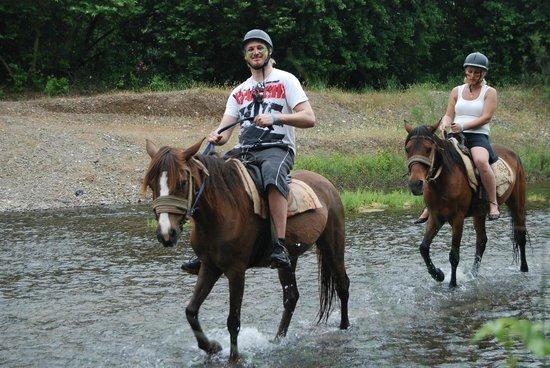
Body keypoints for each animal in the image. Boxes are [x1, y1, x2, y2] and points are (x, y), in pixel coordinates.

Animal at [142, 139, 350, 364]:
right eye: (152, 184)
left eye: (182, 182)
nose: (166, 234)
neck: (221, 212)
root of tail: (327, 184)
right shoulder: (209, 266)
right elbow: (191, 311)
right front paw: (212, 347)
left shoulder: (236, 270)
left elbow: (233, 320)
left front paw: (234, 359)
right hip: (288, 260)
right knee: (291, 297)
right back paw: (277, 340)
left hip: (332, 244)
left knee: (342, 285)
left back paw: (344, 328)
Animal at [406, 123, 532, 288]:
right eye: (407, 149)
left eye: (428, 149)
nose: (415, 184)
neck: (444, 180)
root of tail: (513, 153)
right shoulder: (435, 216)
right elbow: (423, 248)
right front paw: (438, 275)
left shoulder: (457, 218)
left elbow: (454, 255)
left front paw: (452, 284)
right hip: (479, 213)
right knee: (482, 241)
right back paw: (473, 274)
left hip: (517, 204)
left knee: (521, 236)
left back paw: (524, 269)